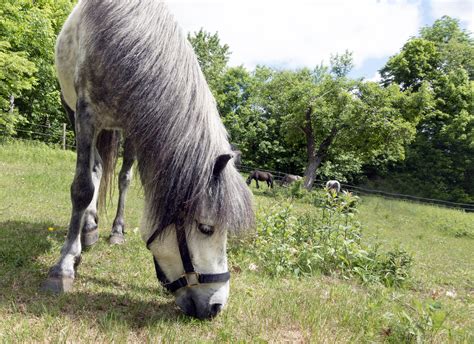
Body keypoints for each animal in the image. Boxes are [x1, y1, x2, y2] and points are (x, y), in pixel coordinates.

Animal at [46, 0, 256, 320]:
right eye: (206, 228)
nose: (216, 307)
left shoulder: (137, 125)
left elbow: (123, 178)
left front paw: (110, 232)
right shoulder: (84, 115)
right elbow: (82, 187)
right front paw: (65, 265)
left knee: (118, 176)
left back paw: (111, 230)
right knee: (94, 169)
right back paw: (89, 227)